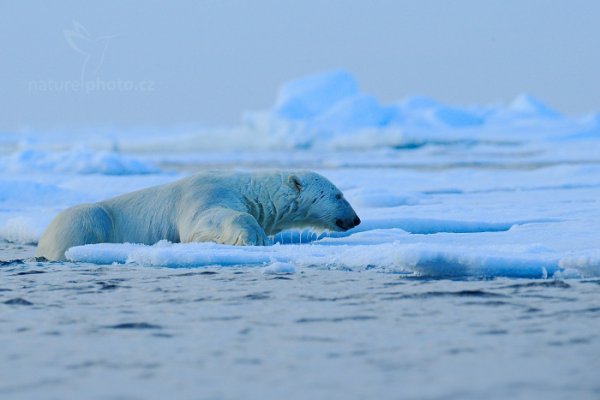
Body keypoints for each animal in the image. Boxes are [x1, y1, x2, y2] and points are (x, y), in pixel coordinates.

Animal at [36, 170, 360, 260]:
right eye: (338, 195)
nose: (356, 219)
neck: (247, 190)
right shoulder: (204, 193)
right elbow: (202, 223)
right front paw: (253, 237)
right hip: (86, 220)